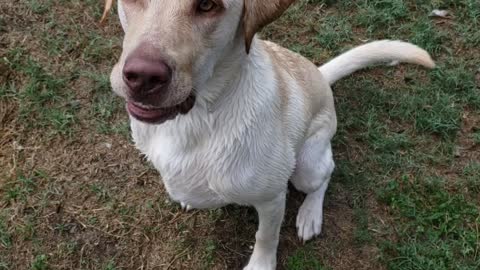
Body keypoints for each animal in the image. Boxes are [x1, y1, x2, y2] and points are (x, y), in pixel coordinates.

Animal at [102, 0, 436, 268]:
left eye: (208, 5)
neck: (197, 118)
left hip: (307, 165)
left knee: (326, 173)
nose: (143, 77)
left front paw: (260, 264)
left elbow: (266, 236)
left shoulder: (272, 198)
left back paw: (310, 214)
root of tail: (321, 76)